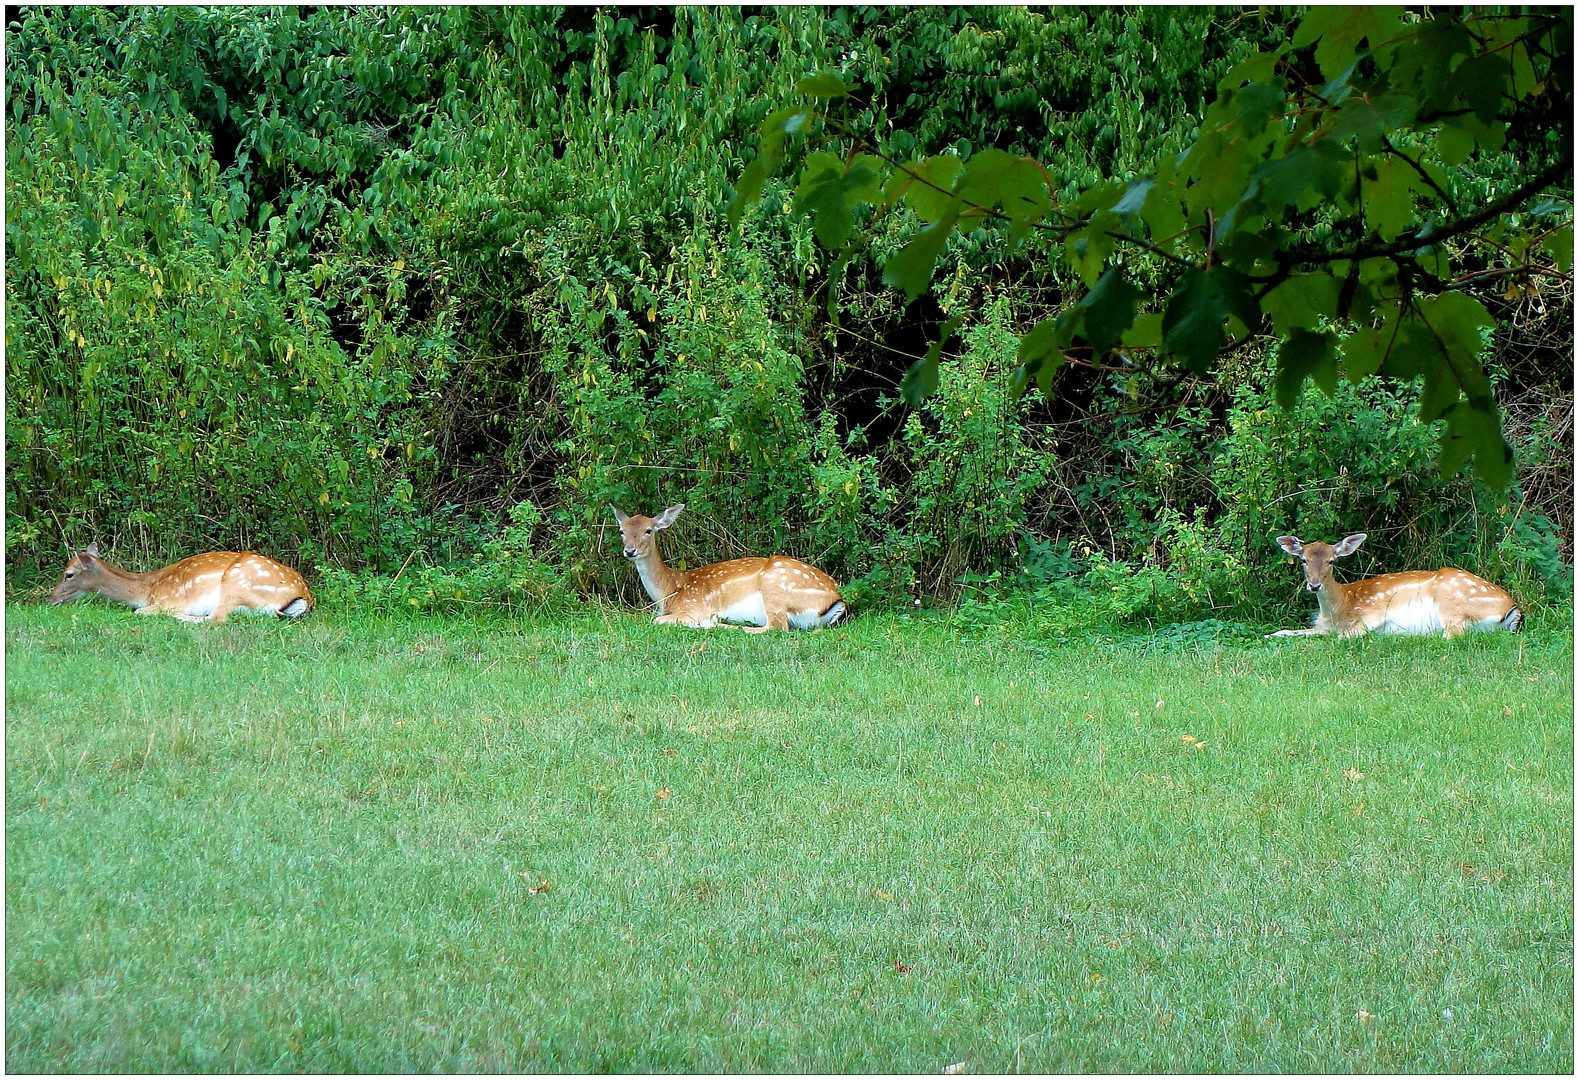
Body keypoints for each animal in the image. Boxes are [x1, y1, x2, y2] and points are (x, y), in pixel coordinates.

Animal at [46, 540, 314, 625]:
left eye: (69, 573)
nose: (50, 598)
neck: (148, 588)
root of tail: (305, 597)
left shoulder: (168, 599)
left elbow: (139, 612)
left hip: (237, 583)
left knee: (215, 620)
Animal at [606, 505, 852, 631]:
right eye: (622, 530)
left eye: (649, 530)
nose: (630, 550)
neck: (669, 591)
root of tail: (836, 598)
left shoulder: (694, 606)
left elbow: (656, 620)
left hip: (775, 587)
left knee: (775, 627)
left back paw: (713, 623)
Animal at [1263, 533, 1522, 637]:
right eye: (1303, 560)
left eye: (1331, 560)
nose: (1314, 585)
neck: (1337, 610)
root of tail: (1513, 608)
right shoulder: (1320, 627)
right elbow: (1286, 631)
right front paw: (1269, 634)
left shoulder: (1372, 612)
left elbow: (1341, 637)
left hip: (1452, 602)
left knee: (1452, 635)